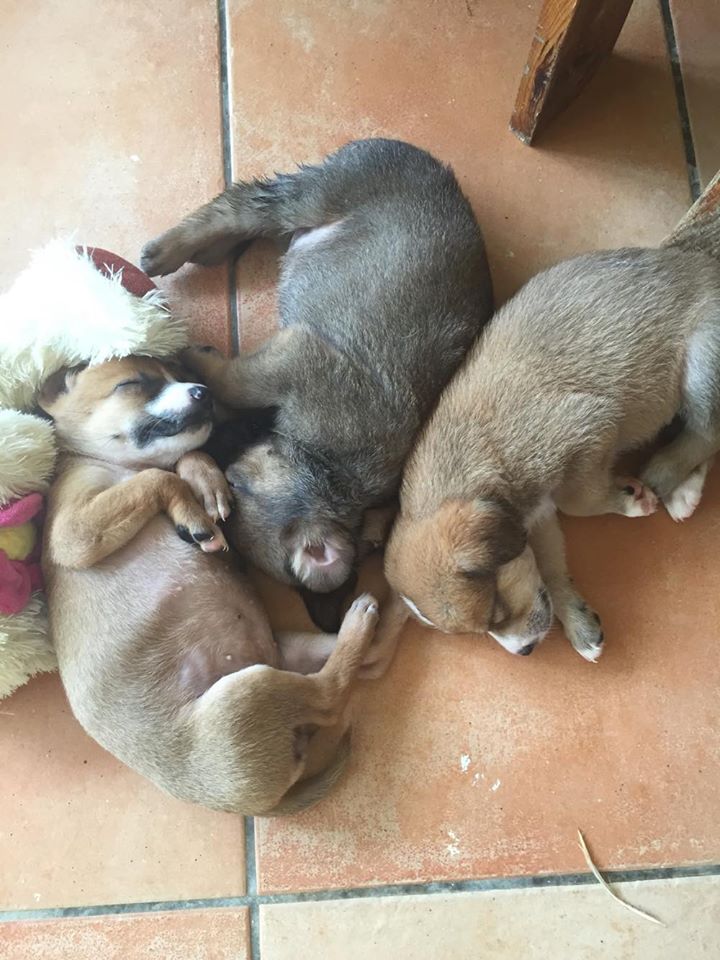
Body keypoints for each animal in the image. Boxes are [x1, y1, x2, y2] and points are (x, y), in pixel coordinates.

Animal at [41, 356, 386, 816]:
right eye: (132, 384)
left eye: (176, 376)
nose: (202, 391)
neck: (114, 466)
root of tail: (262, 804)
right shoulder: (75, 535)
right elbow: (157, 478)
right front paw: (192, 508)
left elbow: (183, 461)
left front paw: (205, 484)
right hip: (246, 695)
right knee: (329, 695)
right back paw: (361, 617)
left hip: (287, 654)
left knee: (367, 661)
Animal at [141, 138, 494, 634]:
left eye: (235, 484)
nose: (209, 446)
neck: (328, 465)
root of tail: (434, 166)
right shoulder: (296, 357)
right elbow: (235, 381)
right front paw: (194, 357)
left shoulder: (295, 358)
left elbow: (232, 383)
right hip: (317, 194)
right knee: (242, 204)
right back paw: (172, 249)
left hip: (308, 203)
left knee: (247, 207)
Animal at [385, 235, 720, 663]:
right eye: (490, 623)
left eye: (496, 611)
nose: (524, 652)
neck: (478, 460)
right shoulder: (536, 521)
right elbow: (550, 568)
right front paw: (578, 622)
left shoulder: (589, 427)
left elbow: (577, 500)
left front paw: (629, 499)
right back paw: (684, 492)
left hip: (702, 360)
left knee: (708, 430)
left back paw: (664, 472)